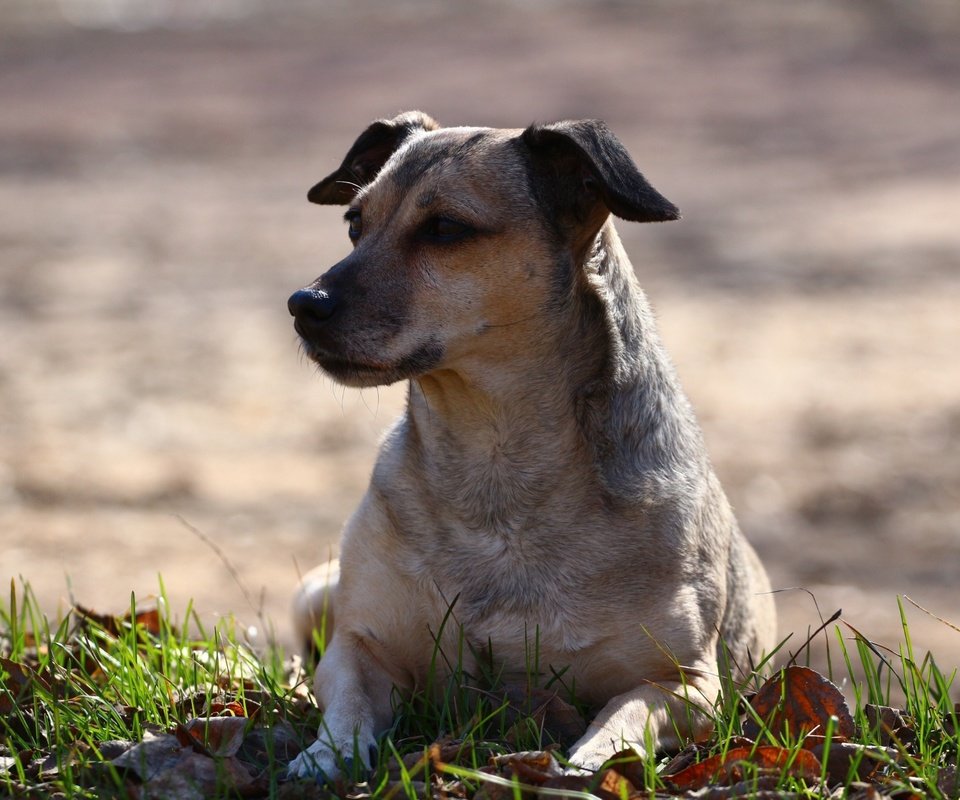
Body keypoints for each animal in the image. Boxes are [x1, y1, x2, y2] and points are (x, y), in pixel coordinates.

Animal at [286, 112, 780, 780]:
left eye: (445, 228)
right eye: (354, 224)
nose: (302, 305)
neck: (493, 457)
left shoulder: (690, 684)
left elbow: (628, 710)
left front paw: (593, 755)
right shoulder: (361, 644)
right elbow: (347, 698)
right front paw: (326, 752)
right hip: (315, 593)